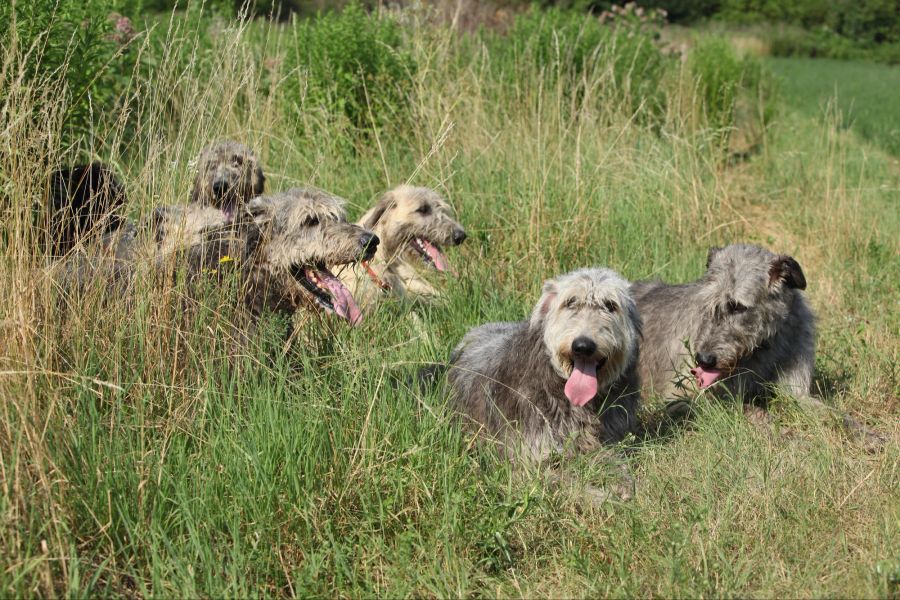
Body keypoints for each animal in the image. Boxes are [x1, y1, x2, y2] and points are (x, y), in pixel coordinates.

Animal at [442, 270, 640, 504]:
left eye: (610, 305)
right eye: (570, 302)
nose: (583, 346)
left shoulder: (606, 440)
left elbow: (613, 460)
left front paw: (622, 483)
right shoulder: (526, 463)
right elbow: (563, 481)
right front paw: (601, 497)